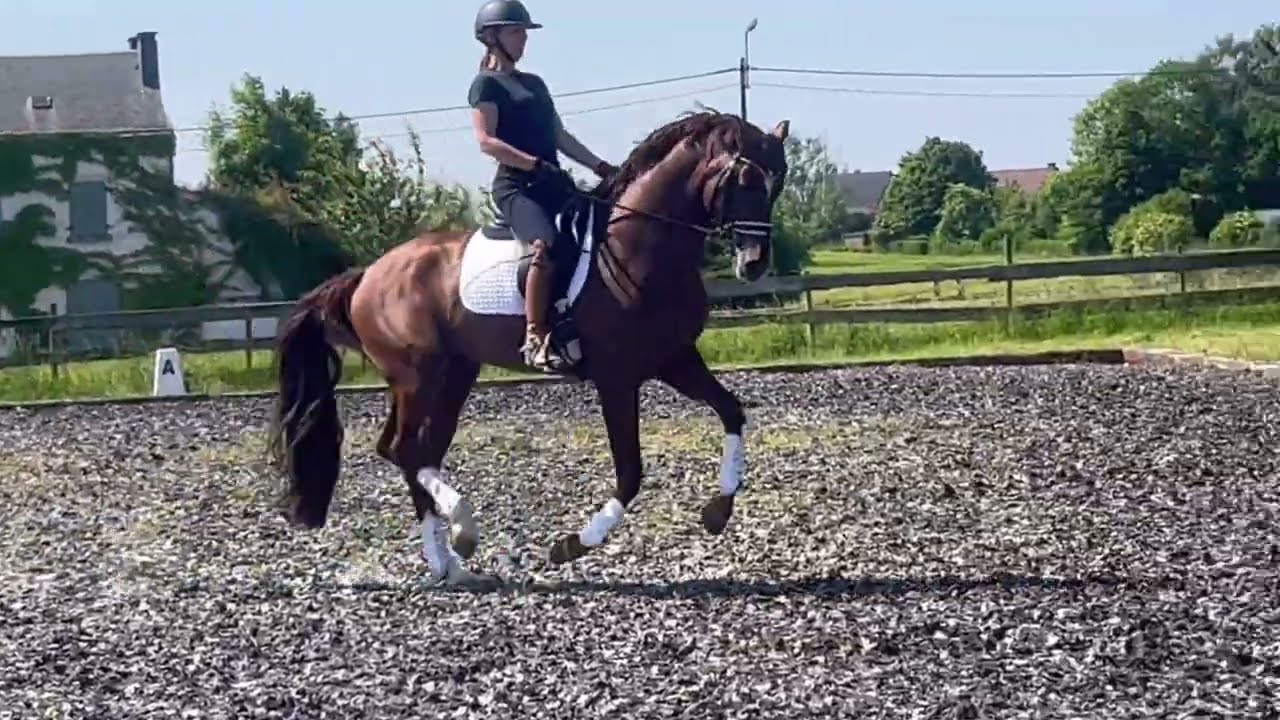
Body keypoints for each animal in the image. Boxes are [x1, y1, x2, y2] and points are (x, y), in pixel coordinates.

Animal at [264, 109, 791, 584]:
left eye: (777, 182)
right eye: (745, 178)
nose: (754, 264)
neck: (639, 246)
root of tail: (369, 274)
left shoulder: (675, 358)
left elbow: (732, 412)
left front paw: (718, 509)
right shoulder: (617, 378)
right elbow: (631, 471)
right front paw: (574, 544)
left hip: (451, 375)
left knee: (412, 451)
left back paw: (451, 563)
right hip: (417, 376)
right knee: (406, 449)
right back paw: (459, 536)